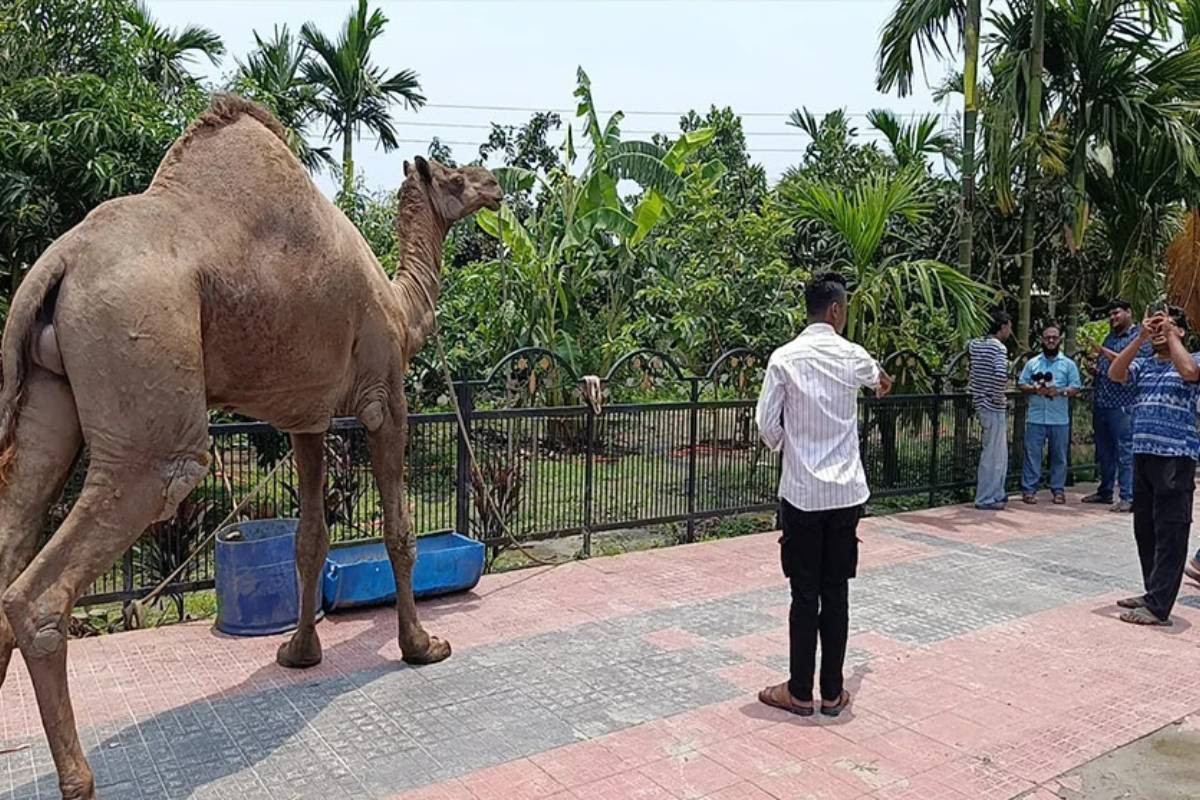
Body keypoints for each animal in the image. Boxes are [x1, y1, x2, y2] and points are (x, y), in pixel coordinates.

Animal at [0, 93, 501, 800]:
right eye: (455, 177)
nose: (496, 184)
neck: (402, 309)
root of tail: (56, 265)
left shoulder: (307, 419)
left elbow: (309, 540)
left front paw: (298, 654)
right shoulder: (384, 399)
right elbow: (399, 533)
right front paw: (421, 646)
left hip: (46, 397)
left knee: (17, 518)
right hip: (144, 383)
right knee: (58, 574)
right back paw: (79, 781)